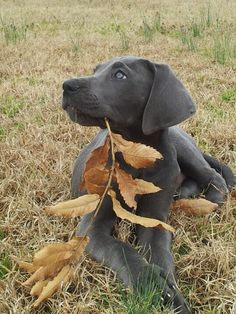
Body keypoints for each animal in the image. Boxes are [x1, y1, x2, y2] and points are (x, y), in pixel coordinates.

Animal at [61, 57, 235, 314]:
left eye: (120, 75)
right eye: (95, 70)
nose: (67, 86)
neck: (136, 156)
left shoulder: (155, 219)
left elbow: (159, 252)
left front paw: (169, 291)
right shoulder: (92, 225)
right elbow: (122, 250)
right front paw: (156, 287)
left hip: (179, 146)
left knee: (214, 176)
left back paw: (208, 201)